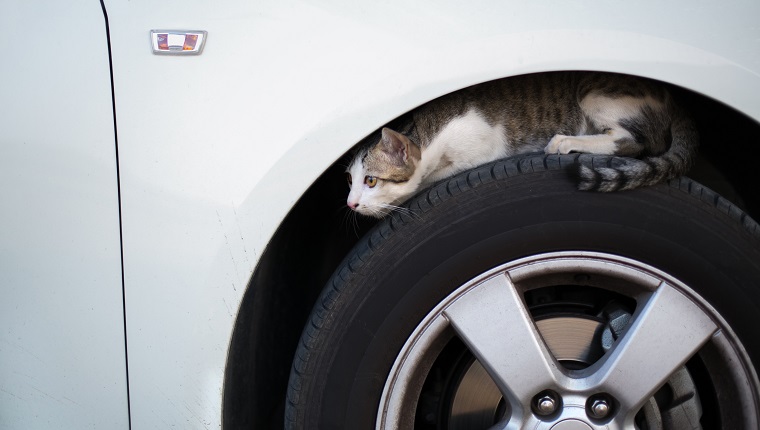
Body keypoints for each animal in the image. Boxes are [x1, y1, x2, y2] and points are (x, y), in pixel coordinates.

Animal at [348, 72, 696, 218]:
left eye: (371, 180)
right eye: (350, 182)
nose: (350, 204)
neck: (429, 135)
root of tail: (674, 101)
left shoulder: (481, 151)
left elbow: (427, 180)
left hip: (595, 91)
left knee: (636, 142)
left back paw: (565, 141)